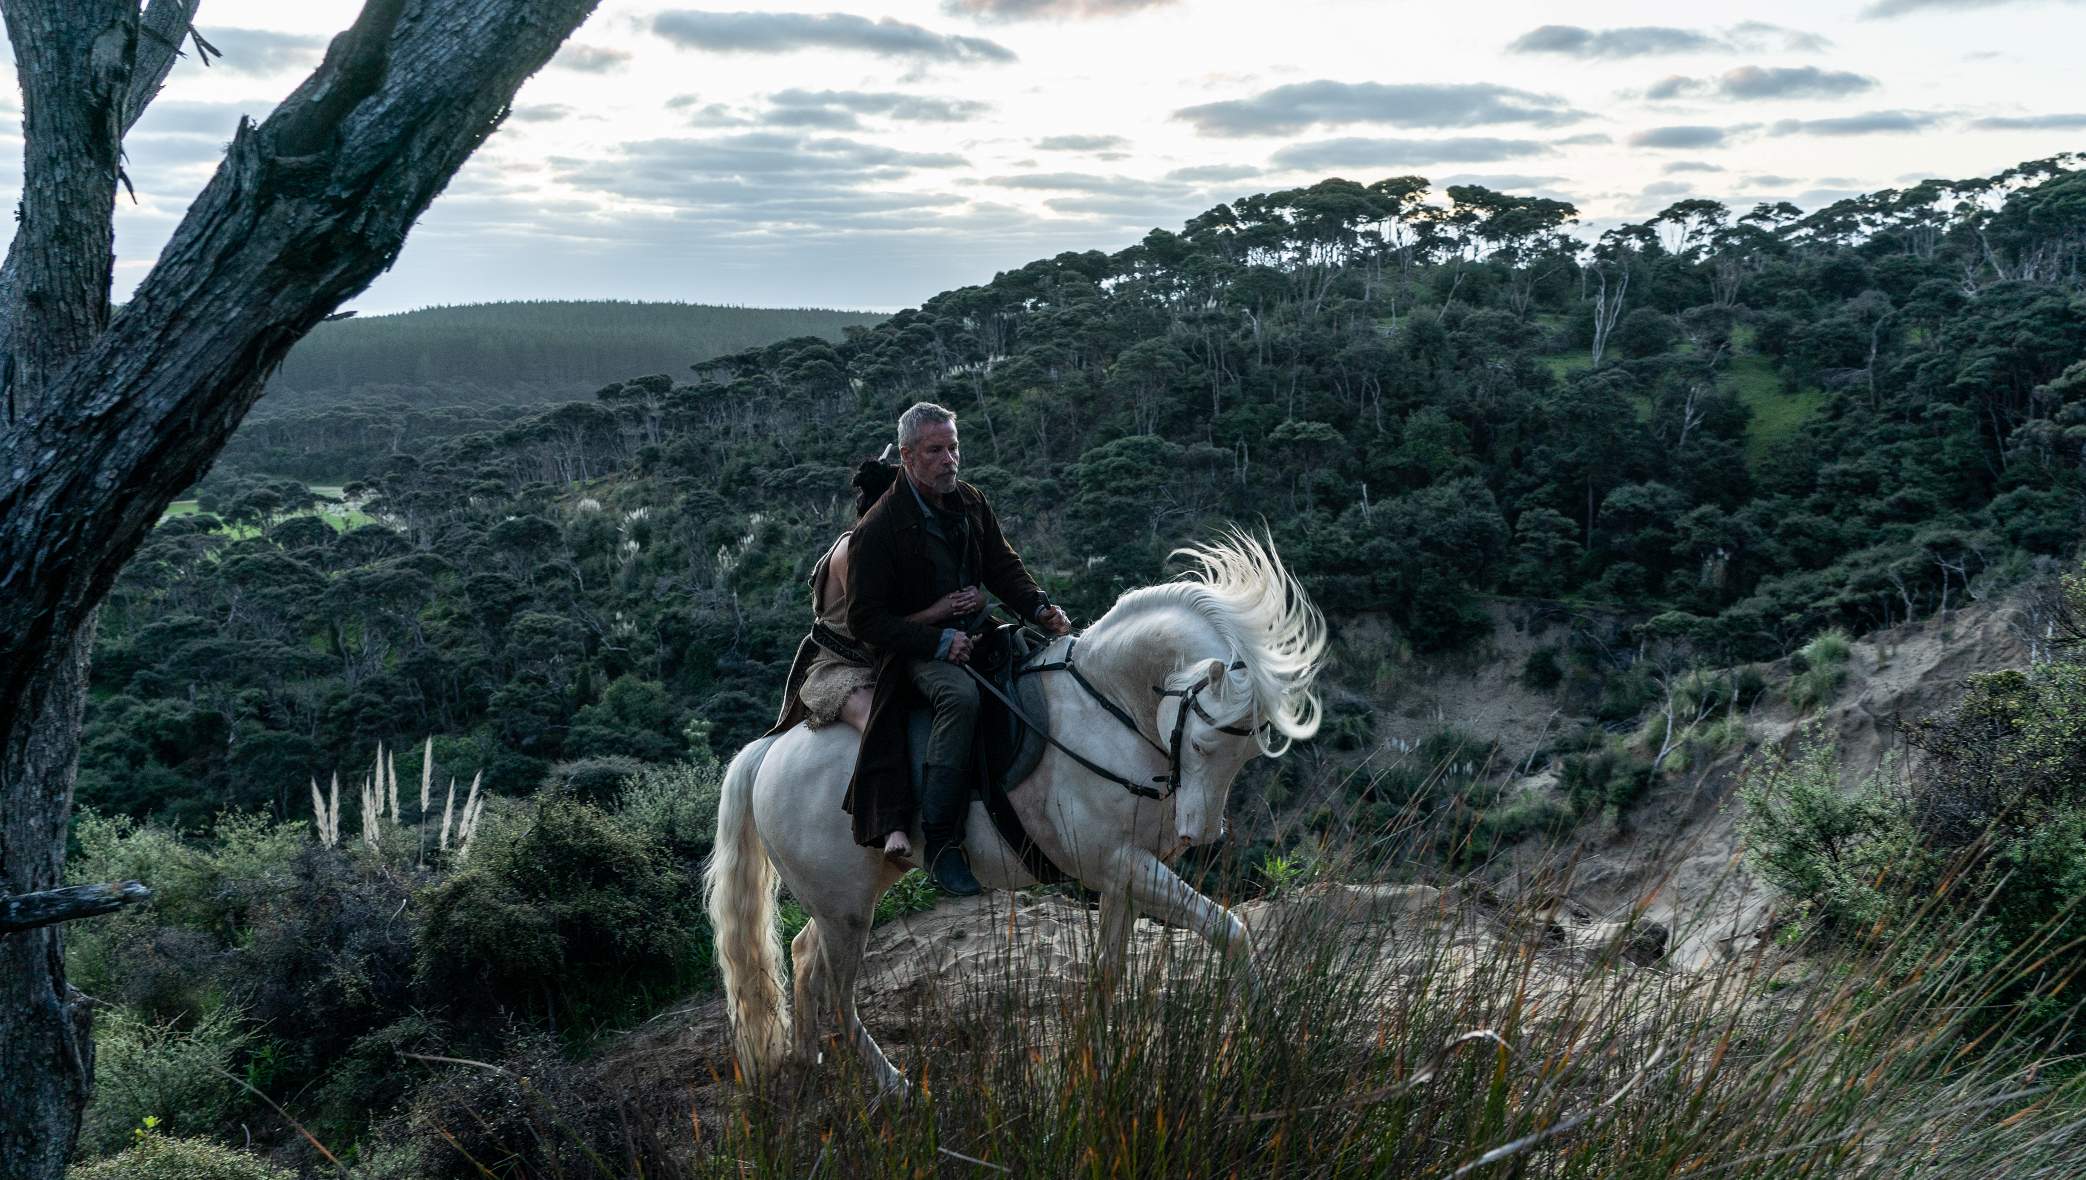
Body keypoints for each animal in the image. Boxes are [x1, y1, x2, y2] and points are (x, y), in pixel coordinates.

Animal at [700, 531, 1318, 1092]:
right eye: (1204, 745)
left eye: (1247, 754)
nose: (1203, 834)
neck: (1107, 708)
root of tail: (771, 751)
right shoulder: (1123, 863)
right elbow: (1230, 931)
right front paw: (1271, 1039)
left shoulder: (1120, 872)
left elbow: (1108, 974)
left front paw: (1094, 1069)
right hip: (846, 908)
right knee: (839, 996)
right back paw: (896, 1085)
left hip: (850, 894)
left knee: (804, 957)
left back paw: (807, 1065)